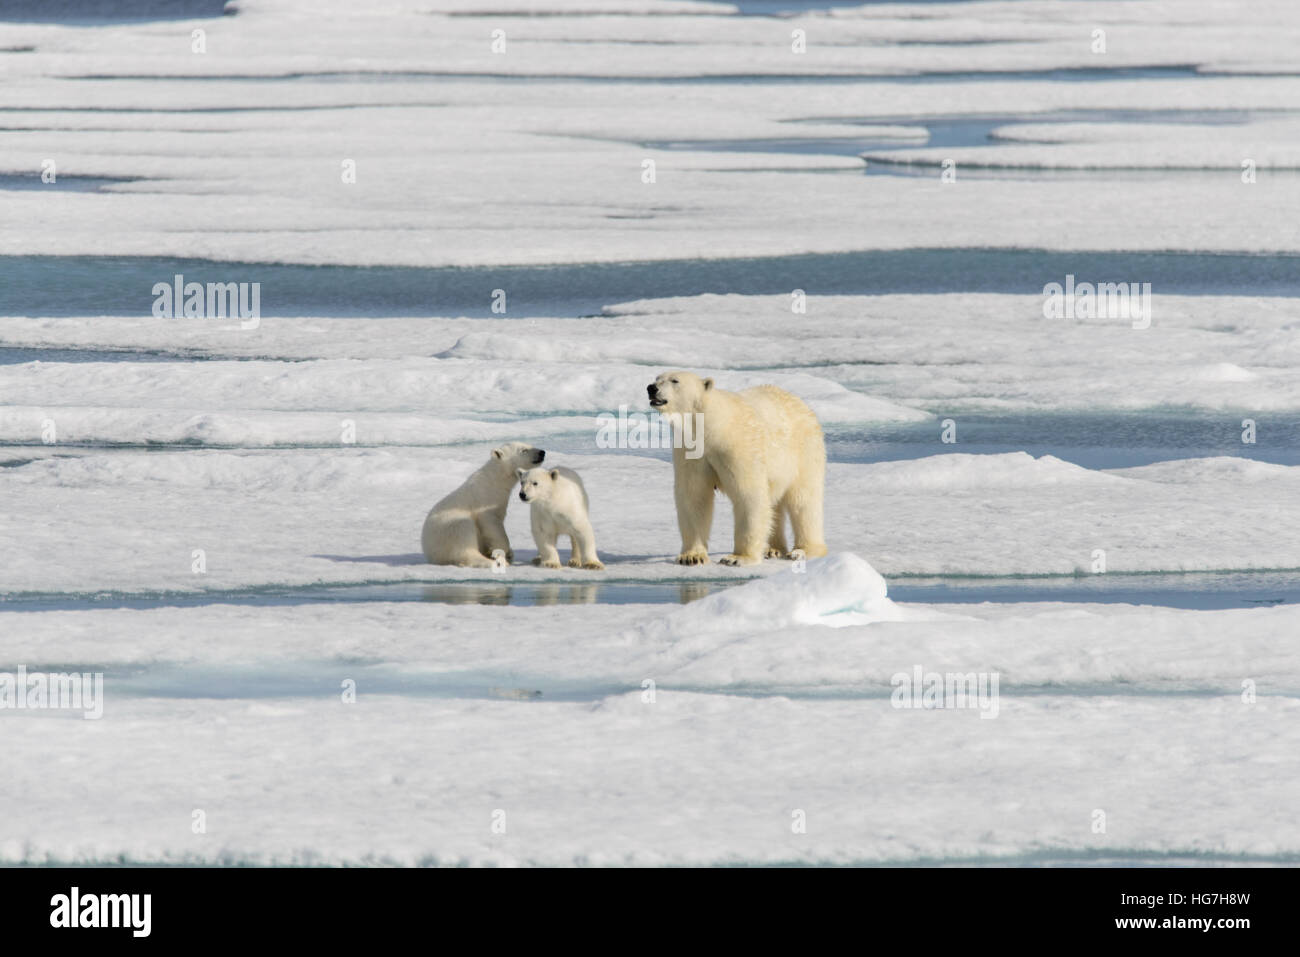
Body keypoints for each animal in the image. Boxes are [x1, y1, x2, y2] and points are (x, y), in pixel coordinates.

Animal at [647, 371, 827, 566]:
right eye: (657, 378)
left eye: (675, 380)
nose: (651, 388)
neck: (713, 428)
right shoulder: (692, 451)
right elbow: (693, 496)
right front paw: (692, 556)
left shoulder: (737, 447)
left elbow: (748, 494)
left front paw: (737, 558)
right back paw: (773, 549)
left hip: (804, 452)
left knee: (804, 501)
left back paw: (803, 551)